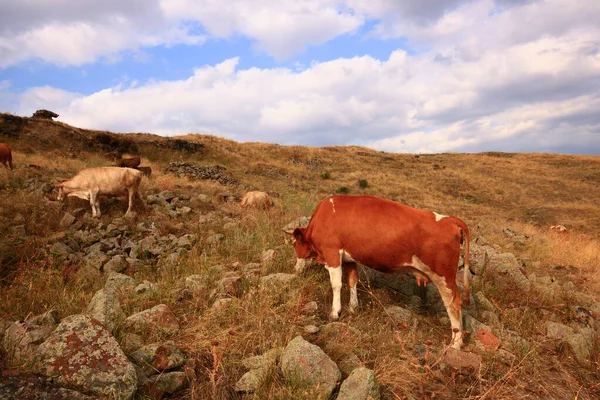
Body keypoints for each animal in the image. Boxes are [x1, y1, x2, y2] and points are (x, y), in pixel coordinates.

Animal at [284, 195, 472, 348]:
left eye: (295, 244)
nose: (295, 270)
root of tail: (450, 220)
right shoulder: (350, 258)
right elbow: (352, 281)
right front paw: (353, 307)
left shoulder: (332, 252)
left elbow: (336, 284)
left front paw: (335, 312)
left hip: (444, 276)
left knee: (454, 304)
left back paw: (456, 343)